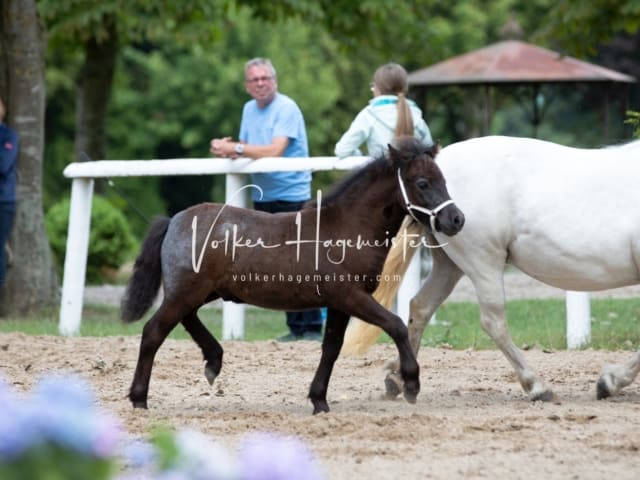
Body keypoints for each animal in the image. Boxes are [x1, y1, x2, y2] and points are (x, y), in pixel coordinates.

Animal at [344, 134, 640, 402]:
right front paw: (610, 381)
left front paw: (611, 382)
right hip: (482, 261)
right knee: (493, 322)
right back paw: (537, 386)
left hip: (450, 265)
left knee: (421, 307)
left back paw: (397, 379)